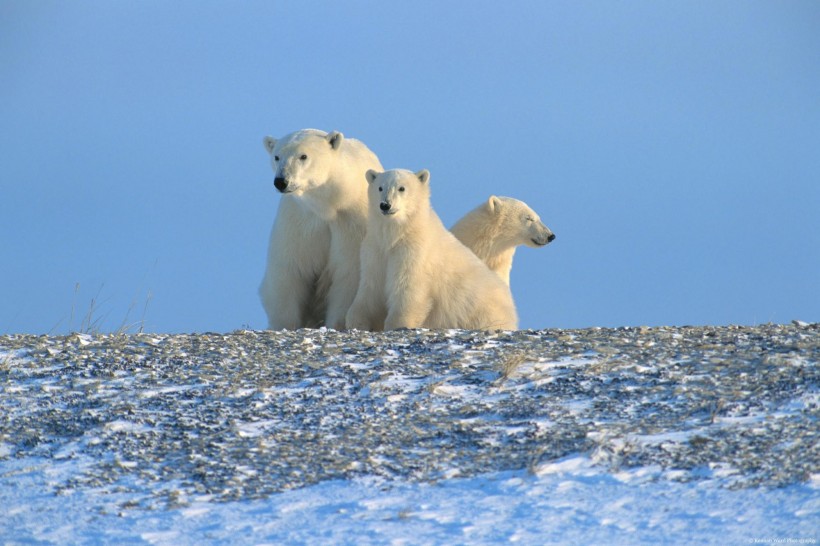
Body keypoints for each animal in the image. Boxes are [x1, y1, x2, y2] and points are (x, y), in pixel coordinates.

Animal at [260, 129, 382, 328]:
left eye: (303, 156)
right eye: (277, 156)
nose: (281, 181)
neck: (328, 206)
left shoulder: (351, 224)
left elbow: (348, 274)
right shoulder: (299, 222)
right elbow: (289, 272)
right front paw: (285, 324)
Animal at [346, 168, 520, 330]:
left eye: (401, 188)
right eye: (380, 187)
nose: (385, 205)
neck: (398, 234)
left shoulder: (414, 252)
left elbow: (408, 287)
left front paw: (398, 323)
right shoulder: (375, 250)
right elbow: (371, 287)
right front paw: (357, 321)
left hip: (482, 311)